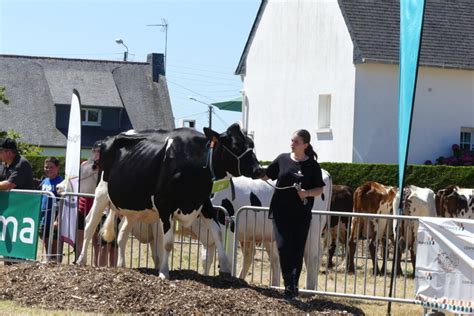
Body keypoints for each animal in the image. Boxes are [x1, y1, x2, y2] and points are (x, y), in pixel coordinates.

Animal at [76, 124, 264, 278]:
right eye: (235, 145)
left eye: (251, 144)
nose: (259, 169)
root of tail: (108, 139)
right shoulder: (165, 206)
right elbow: (167, 243)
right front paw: (164, 272)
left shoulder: (204, 203)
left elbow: (217, 234)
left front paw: (225, 268)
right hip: (101, 193)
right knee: (90, 225)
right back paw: (81, 260)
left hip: (133, 207)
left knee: (122, 233)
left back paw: (122, 265)